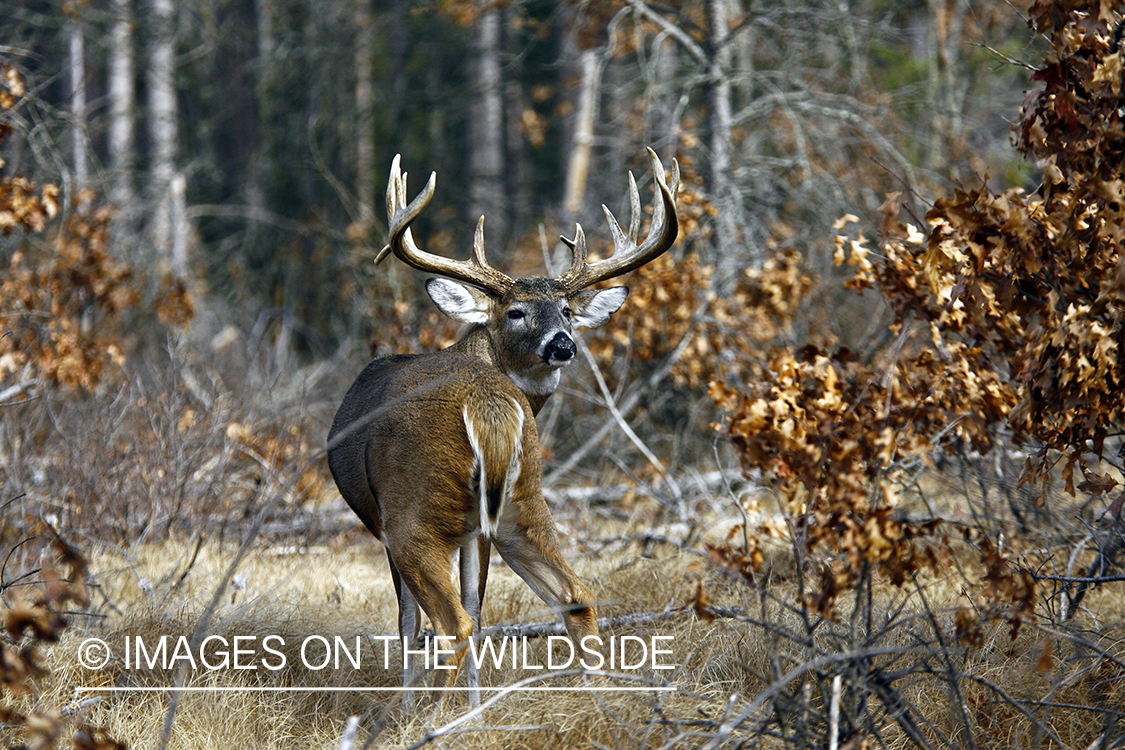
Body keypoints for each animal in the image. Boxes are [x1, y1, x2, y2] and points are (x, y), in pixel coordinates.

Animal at [326, 148, 675, 706]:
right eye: (515, 312)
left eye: (568, 311)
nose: (563, 343)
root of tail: (487, 402)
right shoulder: (478, 530)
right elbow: (481, 600)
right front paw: (476, 706)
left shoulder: (385, 521)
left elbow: (410, 622)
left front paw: (417, 703)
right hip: (523, 497)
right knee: (577, 595)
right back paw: (601, 701)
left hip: (413, 509)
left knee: (452, 624)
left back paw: (430, 717)